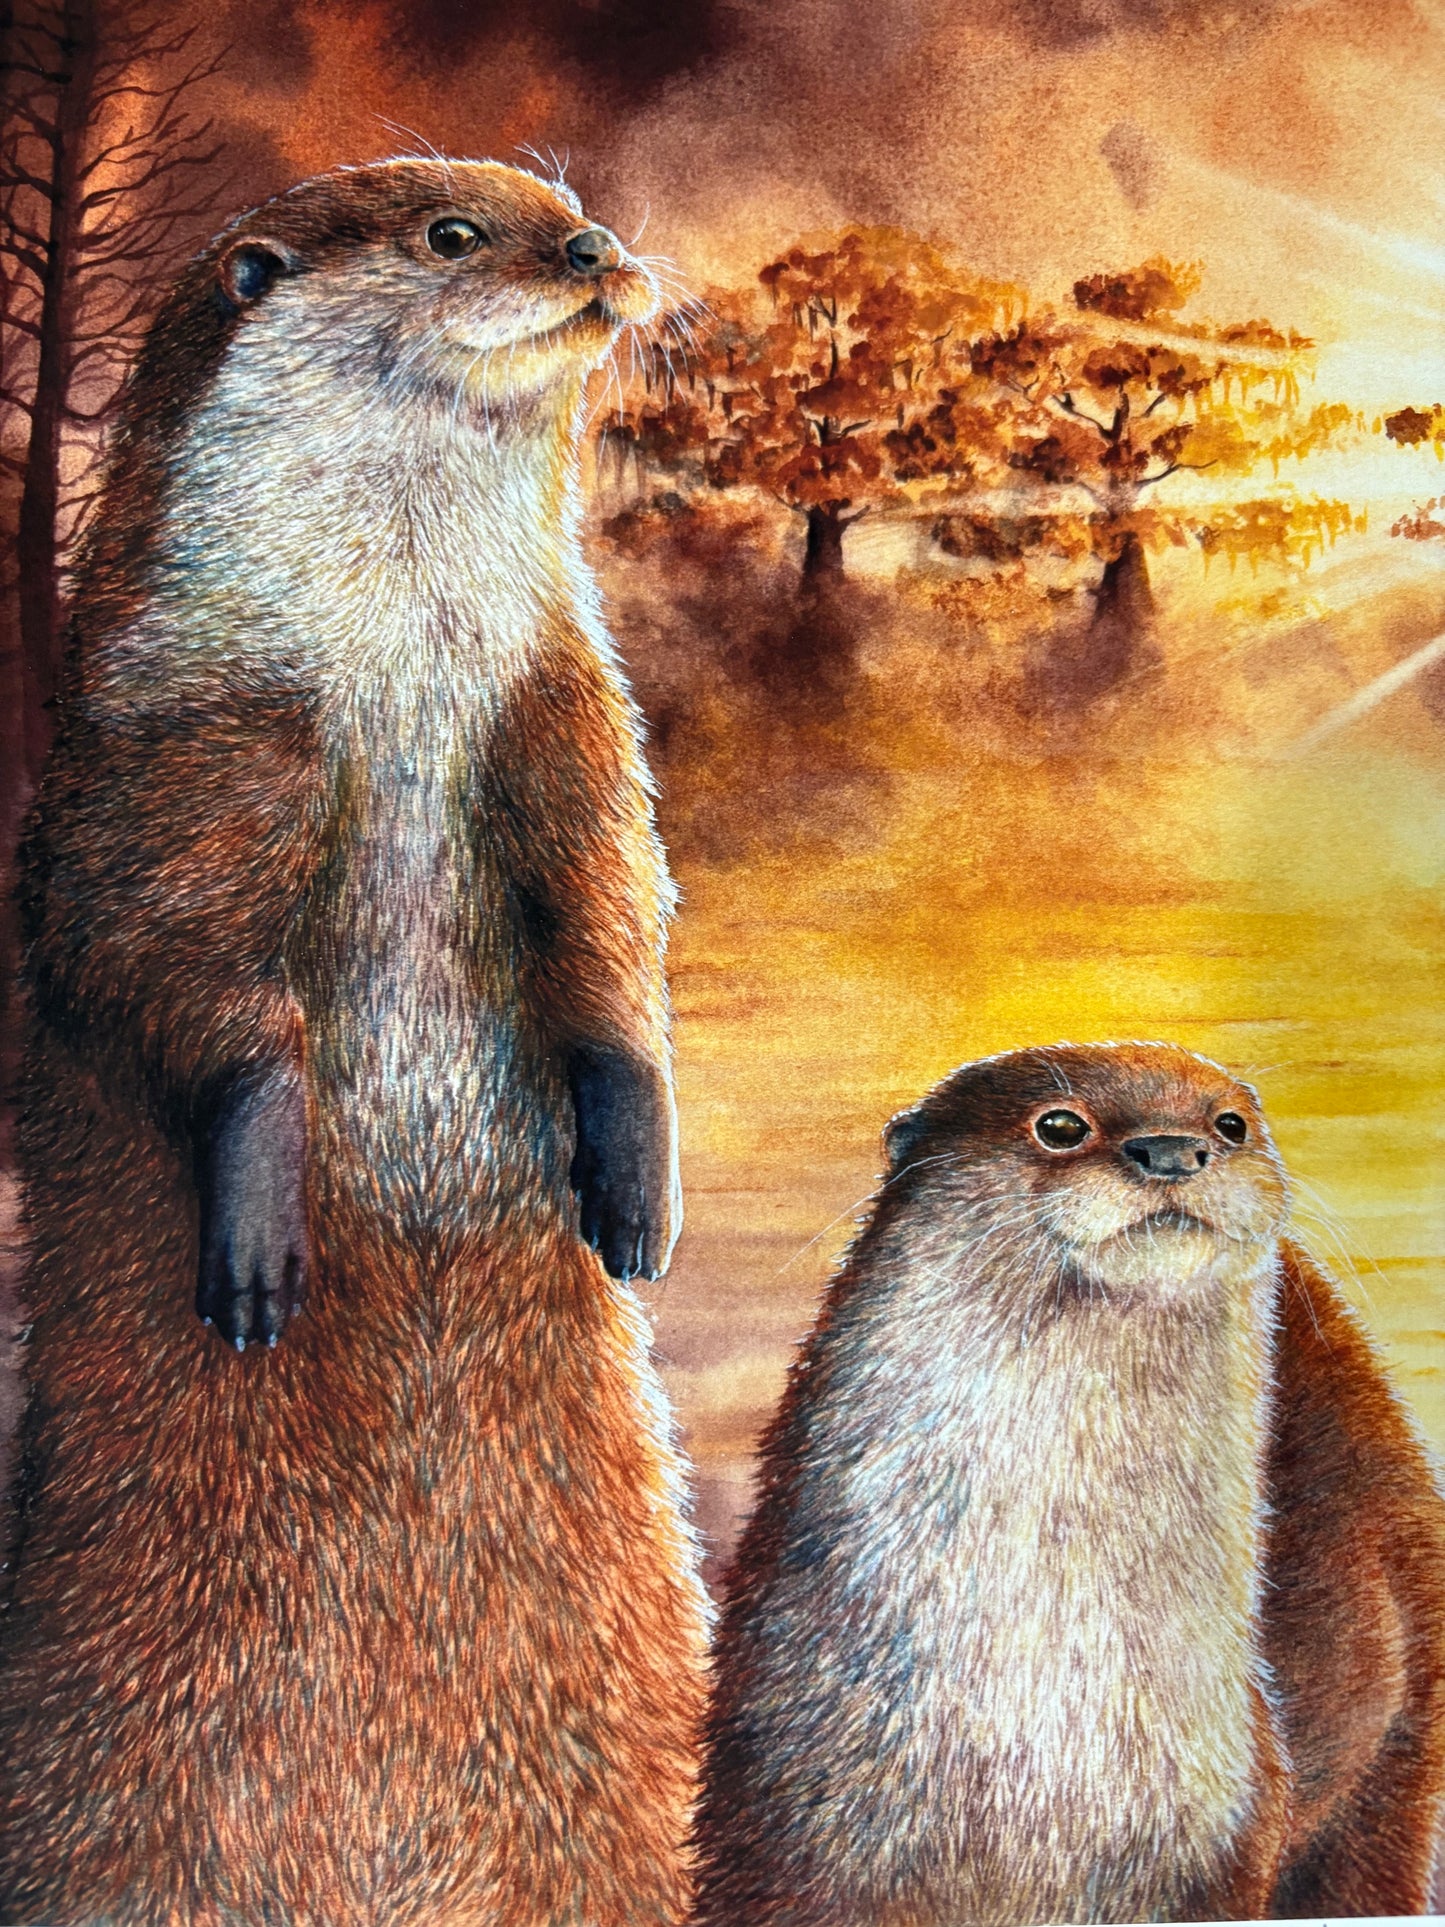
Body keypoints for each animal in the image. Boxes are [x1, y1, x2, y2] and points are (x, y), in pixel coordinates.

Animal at [2, 160, 708, 1926]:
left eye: (561, 198)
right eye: (454, 234)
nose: (598, 249)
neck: (394, 657)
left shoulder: (564, 708)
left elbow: (613, 925)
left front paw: (636, 1174)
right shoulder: (173, 743)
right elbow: (173, 969)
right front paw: (262, 1230)